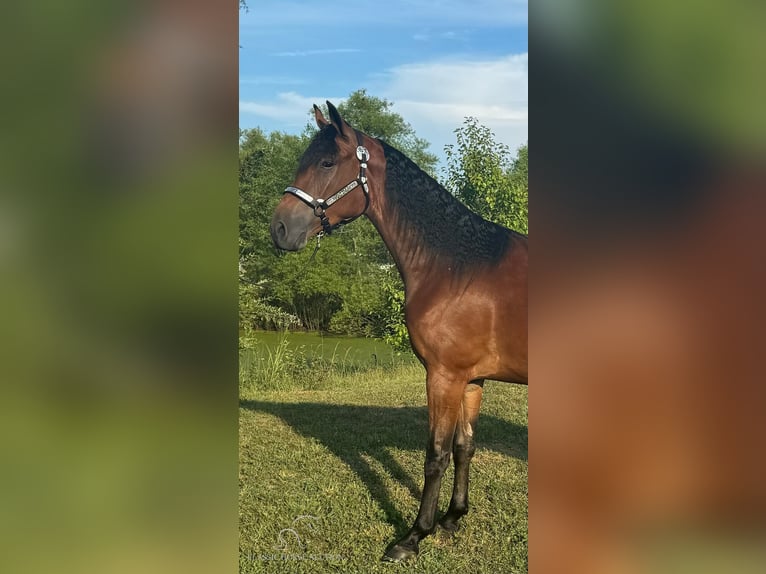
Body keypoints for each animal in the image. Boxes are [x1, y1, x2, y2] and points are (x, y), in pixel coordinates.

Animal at [270, 102, 528, 564]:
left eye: (327, 162)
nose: (279, 228)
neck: (457, 266)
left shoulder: (442, 377)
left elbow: (436, 455)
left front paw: (413, 536)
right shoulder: (471, 379)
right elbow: (464, 447)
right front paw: (452, 518)